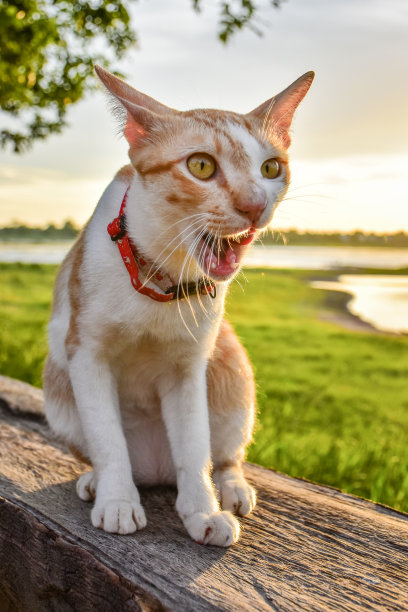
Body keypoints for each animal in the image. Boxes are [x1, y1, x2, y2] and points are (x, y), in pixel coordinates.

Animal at [43, 64, 314, 548]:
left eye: (271, 168)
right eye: (200, 166)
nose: (254, 205)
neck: (161, 277)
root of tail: (154, 469)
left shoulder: (189, 367)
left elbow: (193, 446)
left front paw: (202, 512)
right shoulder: (85, 353)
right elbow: (108, 439)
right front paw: (117, 501)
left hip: (233, 370)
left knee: (222, 455)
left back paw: (230, 488)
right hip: (57, 386)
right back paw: (98, 482)